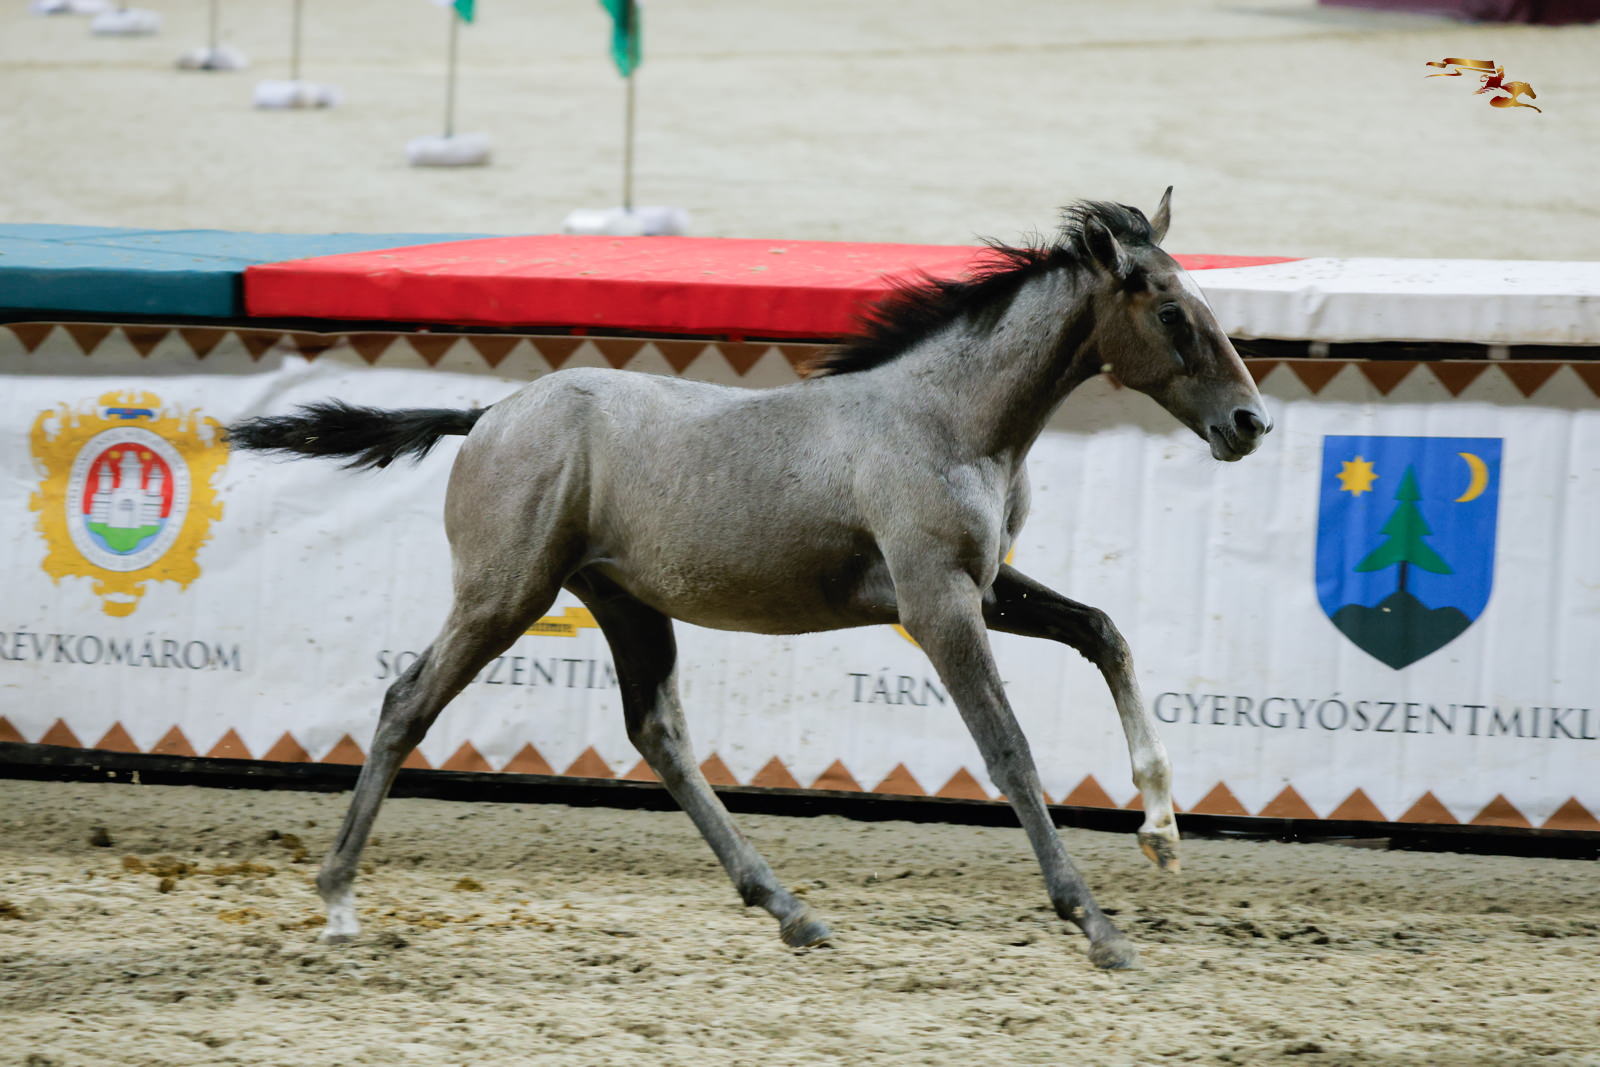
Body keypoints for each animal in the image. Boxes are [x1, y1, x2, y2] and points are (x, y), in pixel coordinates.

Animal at [227, 190, 1272, 970]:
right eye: (1172, 311)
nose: (1251, 423)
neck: (947, 419)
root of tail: (488, 413)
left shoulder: (982, 585)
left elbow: (1103, 629)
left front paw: (1162, 830)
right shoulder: (938, 602)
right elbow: (1008, 748)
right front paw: (1096, 923)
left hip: (625, 603)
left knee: (657, 733)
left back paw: (790, 908)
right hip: (501, 595)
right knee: (408, 700)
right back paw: (339, 900)